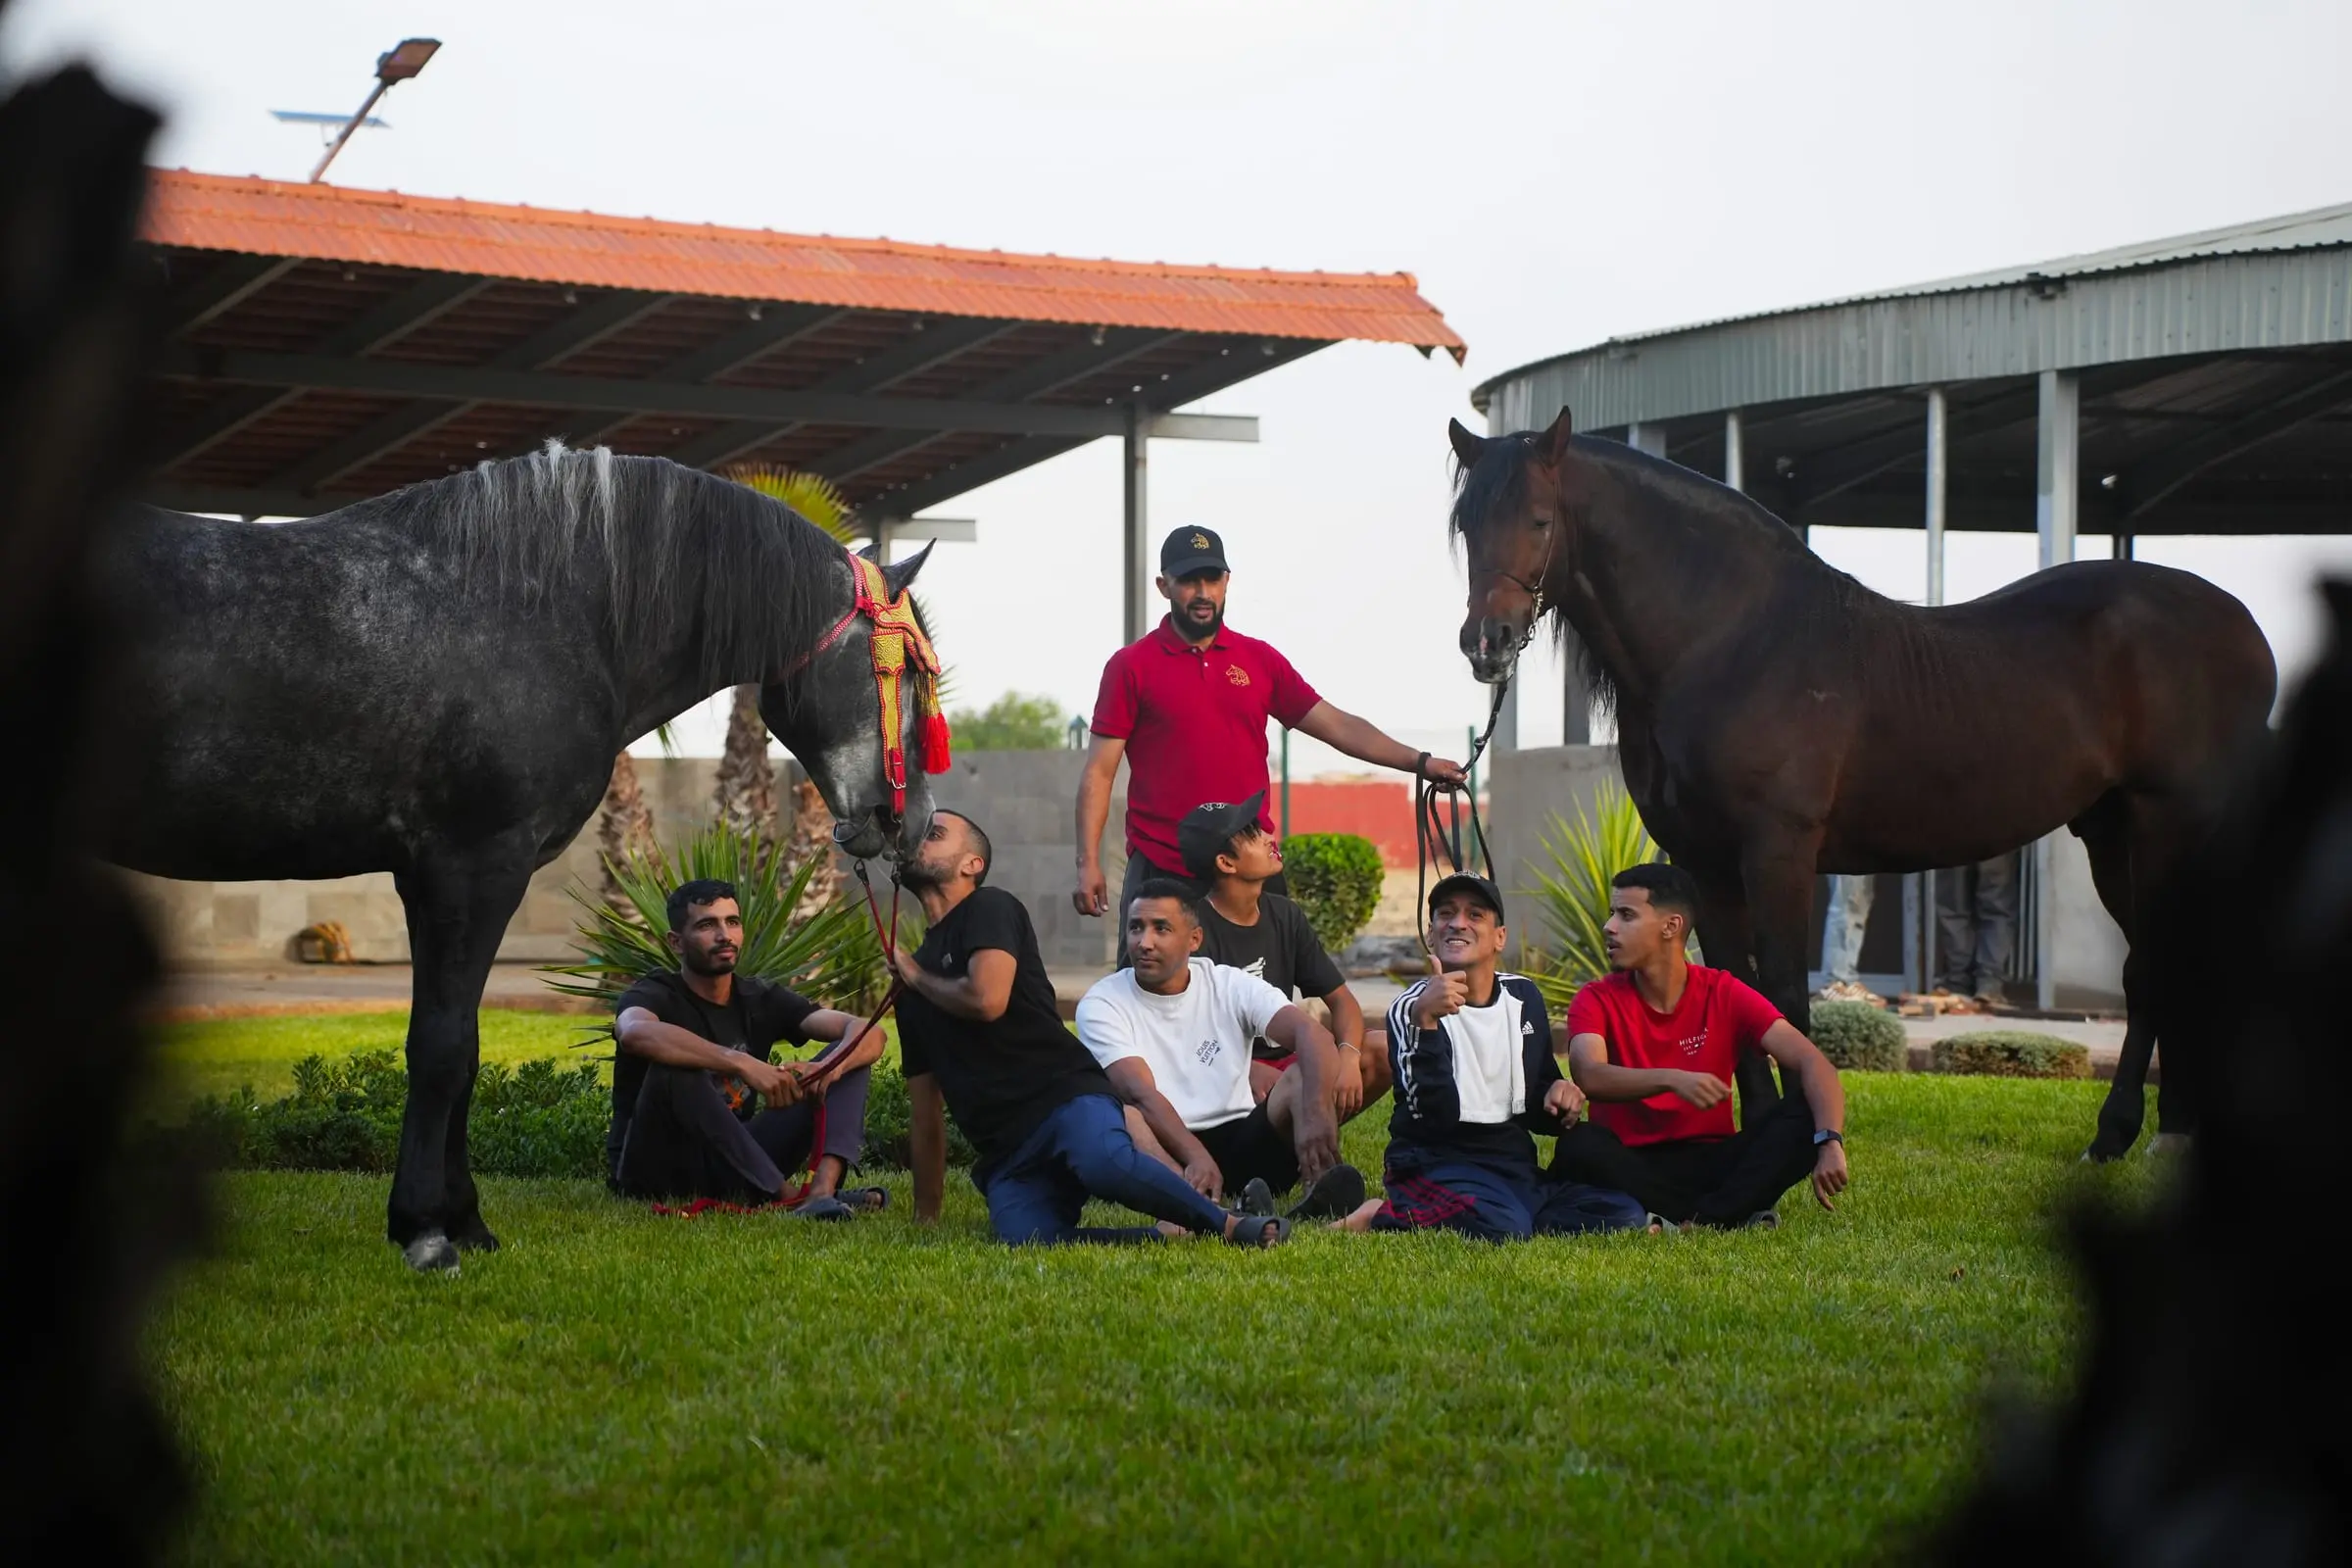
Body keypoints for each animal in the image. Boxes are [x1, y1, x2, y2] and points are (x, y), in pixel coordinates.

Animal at [105, 444, 941, 1269]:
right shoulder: (474, 868)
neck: (531, 614)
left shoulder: (429, 880)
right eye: (909, 671)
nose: (916, 824)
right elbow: (441, 1048)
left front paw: (465, 1223)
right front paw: (427, 1232)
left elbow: (464, 1048)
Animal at [1447, 408, 2276, 1160]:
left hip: (2169, 826)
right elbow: (1731, 988)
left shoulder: (1778, 851)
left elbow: (1782, 993)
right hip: (2110, 834)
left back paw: (2141, 1132)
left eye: (1540, 519)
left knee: (2163, 963)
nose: (1486, 644)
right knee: (2158, 968)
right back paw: (2141, 1134)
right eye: (1465, 526)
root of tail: (2244, 629)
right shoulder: (1702, 860)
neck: (1730, 640)